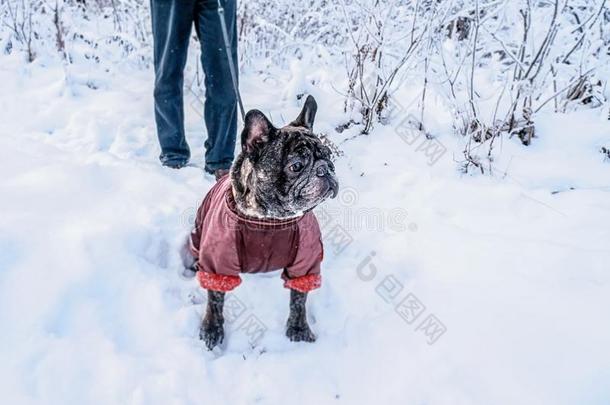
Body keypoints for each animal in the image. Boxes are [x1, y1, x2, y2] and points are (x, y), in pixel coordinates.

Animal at [188, 94, 338, 348]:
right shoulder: (218, 261)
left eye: (328, 157)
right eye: (296, 166)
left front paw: (299, 329)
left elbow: (299, 300)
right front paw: (211, 329)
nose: (325, 169)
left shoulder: (305, 263)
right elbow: (215, 300)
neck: (269, 220)